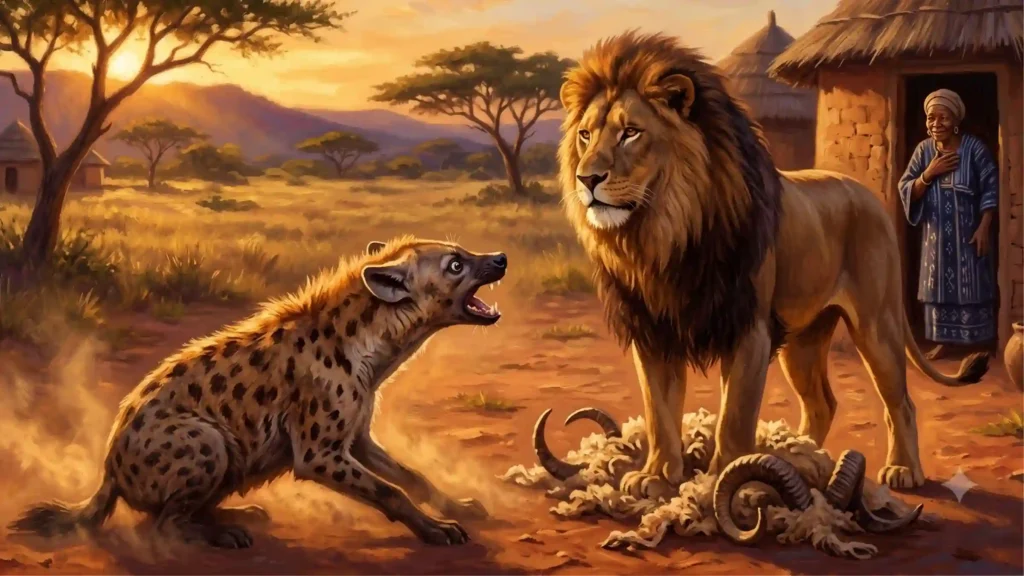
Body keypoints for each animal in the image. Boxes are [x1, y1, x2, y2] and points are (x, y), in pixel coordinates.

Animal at [547, 30, 989, 496]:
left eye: (631, 132)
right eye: (585, 135)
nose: (587, 179)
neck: (664, 236)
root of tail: (867, 194)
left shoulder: (749, 329)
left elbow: (734, 417)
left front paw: (723, 478)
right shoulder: (653, 332)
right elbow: (658, 412)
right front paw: (656, 474)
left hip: (877, 322)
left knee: (900, 400)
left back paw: (902, 469)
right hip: (803, 338)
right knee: (822, 403)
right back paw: (802, 457)